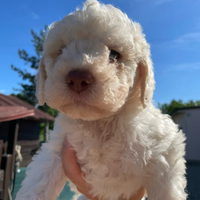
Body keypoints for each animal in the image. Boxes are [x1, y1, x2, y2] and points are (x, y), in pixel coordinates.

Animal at [15, 0, 186, 200]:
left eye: (115, 54)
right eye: (61, 51)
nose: (78, 78)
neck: (100, 124)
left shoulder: (165, 154)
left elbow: (168, 190)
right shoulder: (56, 147)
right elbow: (39, 181)